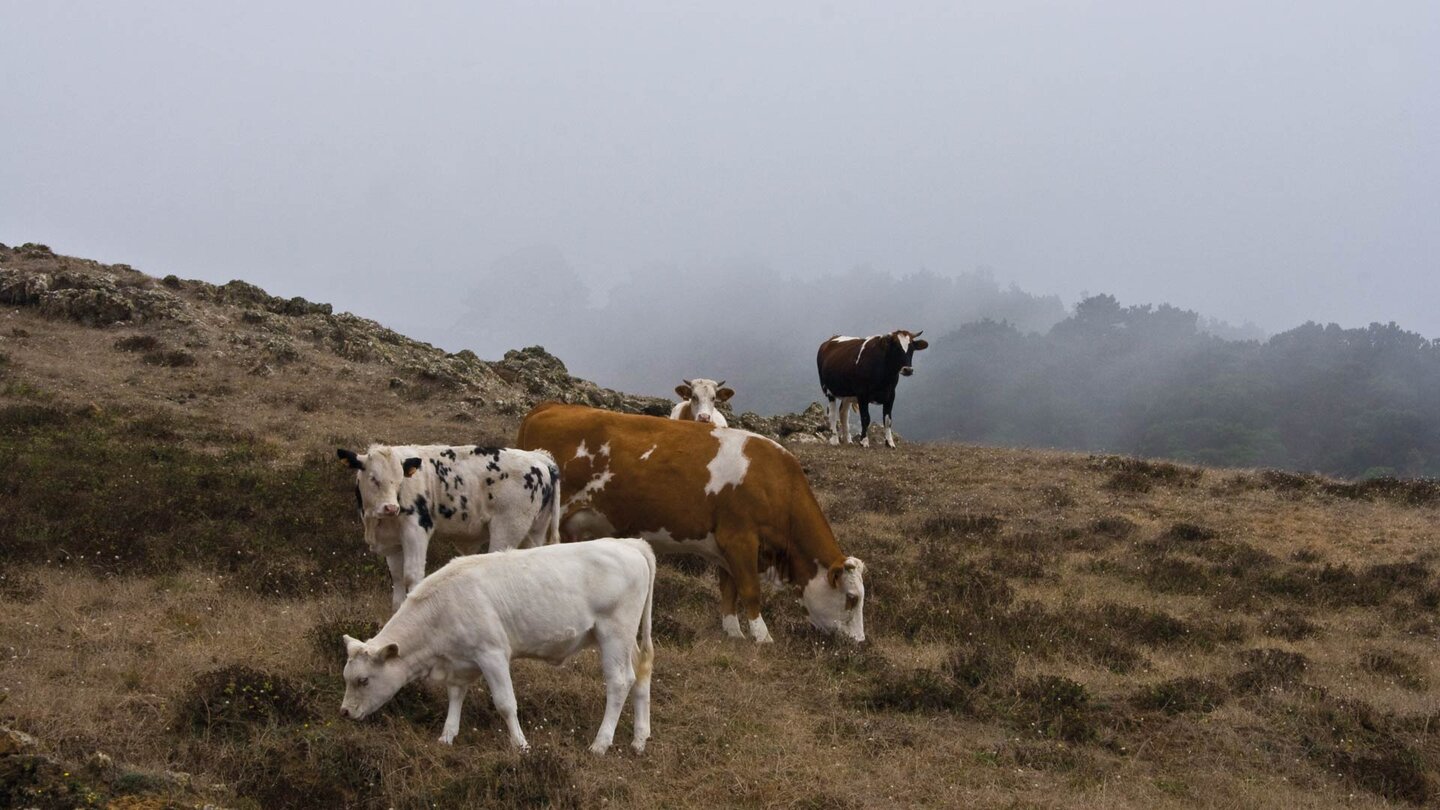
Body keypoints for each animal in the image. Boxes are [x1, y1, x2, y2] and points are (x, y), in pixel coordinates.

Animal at [338, 443, 561, 608]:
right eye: (373, 478)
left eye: (399, 480)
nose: (391, 508)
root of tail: (540, 458)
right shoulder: (392, 544)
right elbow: (398, 580)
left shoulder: (416, 530)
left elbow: (412, 577)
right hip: (535, 532)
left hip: (507, 530)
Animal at [339, 536, 656, 749]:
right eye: (347, 677)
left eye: (363, 680)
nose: (344, 712)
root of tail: (629, 544)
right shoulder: (460, 661)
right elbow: (456, 696)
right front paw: (447, 735)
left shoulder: (492, 653)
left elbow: (505, 703)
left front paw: (521, 745)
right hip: (626, 639)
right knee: (641, 674)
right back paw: (639, 739)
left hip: (614, 633)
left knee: (619, 682)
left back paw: (601, 744)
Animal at [518, 400, 864, 639]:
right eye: (852, 598)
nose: (858, 643)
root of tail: (551, 406)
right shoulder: (740, 538)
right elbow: (750, 589)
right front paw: (762, 637)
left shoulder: (726, 546)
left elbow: (729, 589)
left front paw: (733, 633)